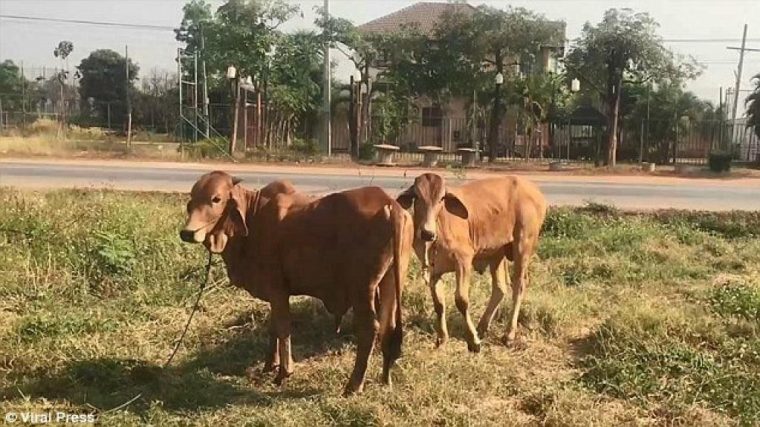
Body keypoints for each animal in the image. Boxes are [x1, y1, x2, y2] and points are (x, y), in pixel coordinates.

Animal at [180, 171, 412, 394]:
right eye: (191, 199)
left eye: (216, 199)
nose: (187, 233)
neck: (253, 216)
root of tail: (390, 204)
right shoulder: (275, 293)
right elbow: (273, 326)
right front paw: (269, 365)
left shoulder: (277, 288)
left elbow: (283, 327)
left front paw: (284, 372)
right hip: (391, 281)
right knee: (388, 327)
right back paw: (385, 379)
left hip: (362, 289)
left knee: (369, 329)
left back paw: (353, 385)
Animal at [398, 173, 548, 352]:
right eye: (418, 197)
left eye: (441, 198)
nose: (427, 232)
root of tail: (534, 190)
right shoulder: (434, 271)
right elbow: (439, 304)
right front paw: (442, 339)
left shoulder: (463, 260)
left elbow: (461, 300)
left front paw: (473, 340)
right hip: (497, 253)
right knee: (500, 288)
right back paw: (482, 327)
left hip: (523, 245)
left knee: (519, 285)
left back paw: (508, 335)